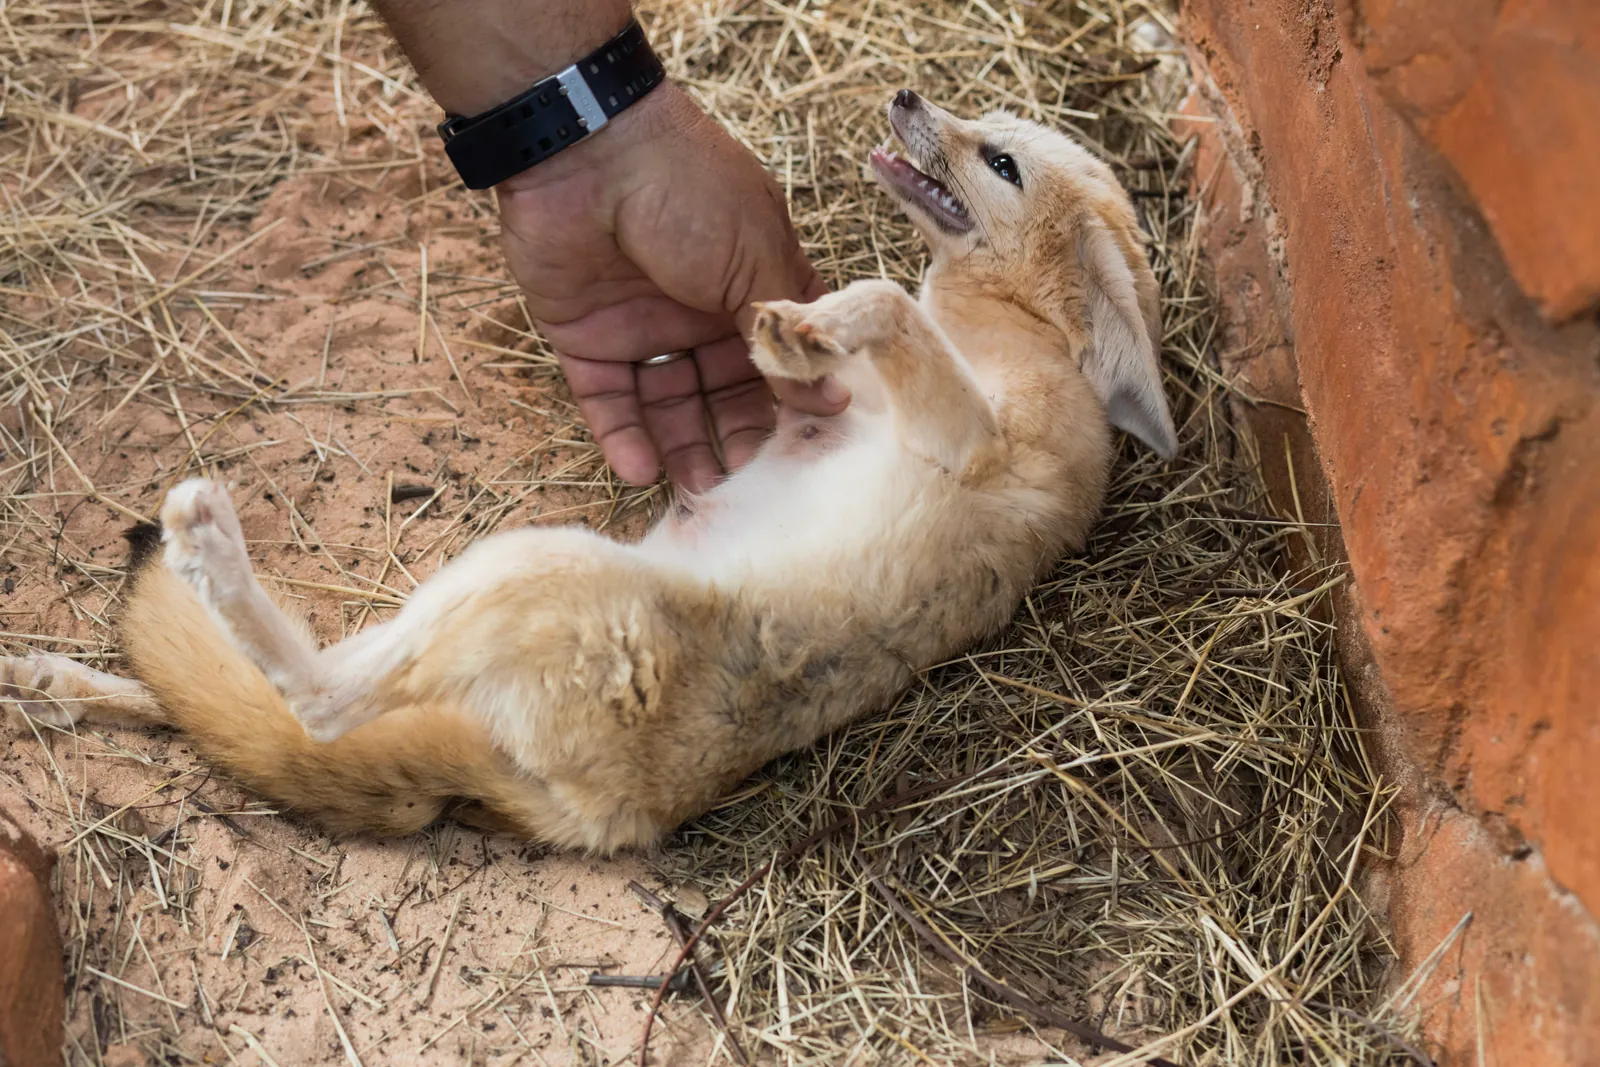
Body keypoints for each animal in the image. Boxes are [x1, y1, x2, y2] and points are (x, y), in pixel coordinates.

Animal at [2, 90, 1177, 853]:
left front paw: (812, 322)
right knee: (268, 704)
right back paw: (55, 680)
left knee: (322, 700)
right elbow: (855, 332)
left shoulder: (972, 439)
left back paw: (201, 550)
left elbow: (886, 298)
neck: (1020, 329)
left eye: (1003, 163)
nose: (904, 93)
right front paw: (791, 338)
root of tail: (601, 815)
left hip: (528, 563)